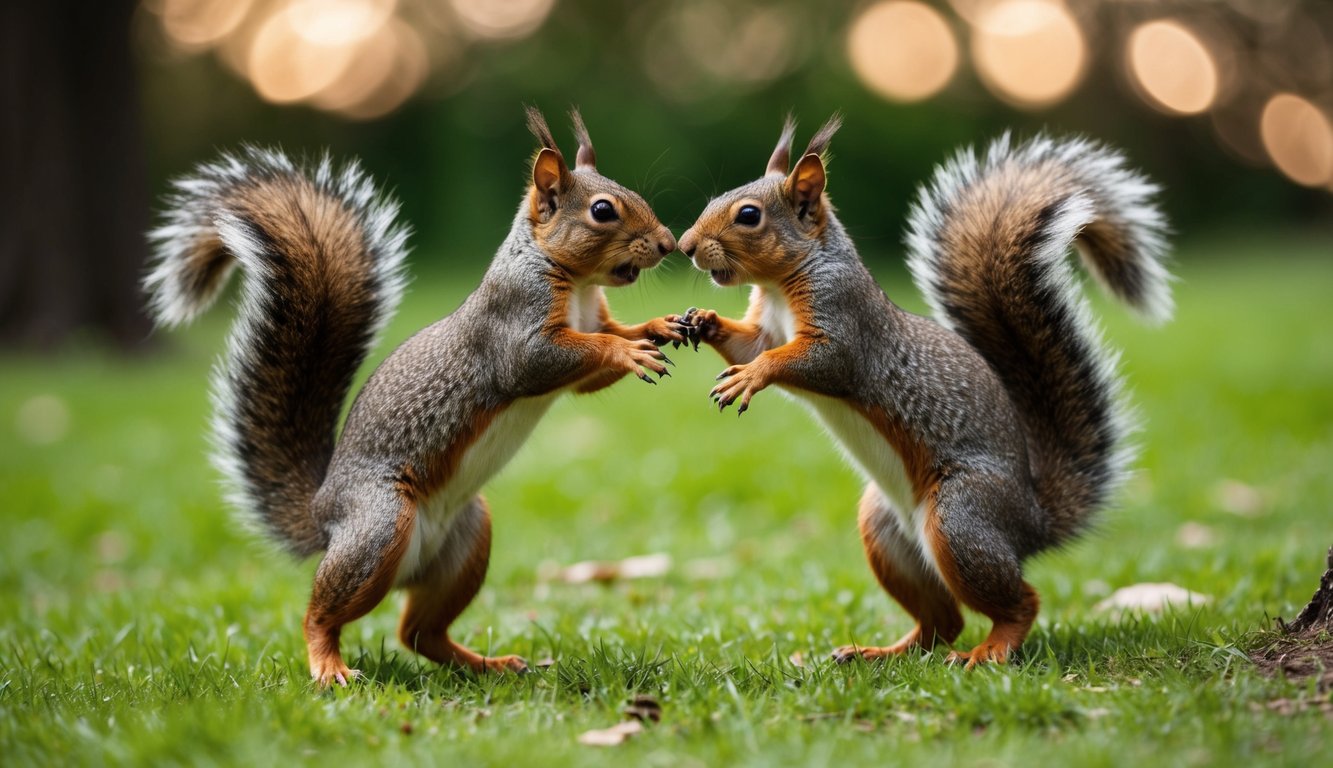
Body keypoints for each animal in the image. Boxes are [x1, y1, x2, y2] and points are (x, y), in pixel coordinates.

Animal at [143, 108, 683, 685]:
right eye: (603, 210)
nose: (668, 243)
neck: (575, 283)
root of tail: (323, 514)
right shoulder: (515, 330)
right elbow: (541, 361)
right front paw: (628, 351)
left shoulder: (590, 320)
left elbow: (599, 356)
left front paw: (659, 327)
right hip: (379, 528)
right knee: (322, 615)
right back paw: (329, 665)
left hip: (467, 540)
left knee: (419, 633)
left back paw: (490, 665)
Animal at [673, 116, 1173, 667]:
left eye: (748, 215)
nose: (686, 245)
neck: (782, 284)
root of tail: (1033, 522)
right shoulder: (765, 328)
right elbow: (748, 344)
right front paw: (702, 321)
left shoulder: (846, 327)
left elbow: (814, 362)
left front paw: (751, 377)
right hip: (887, 535)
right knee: (942, 623)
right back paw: (879, 653)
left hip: (959, 521)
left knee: (1021, 602)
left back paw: (989, 652)